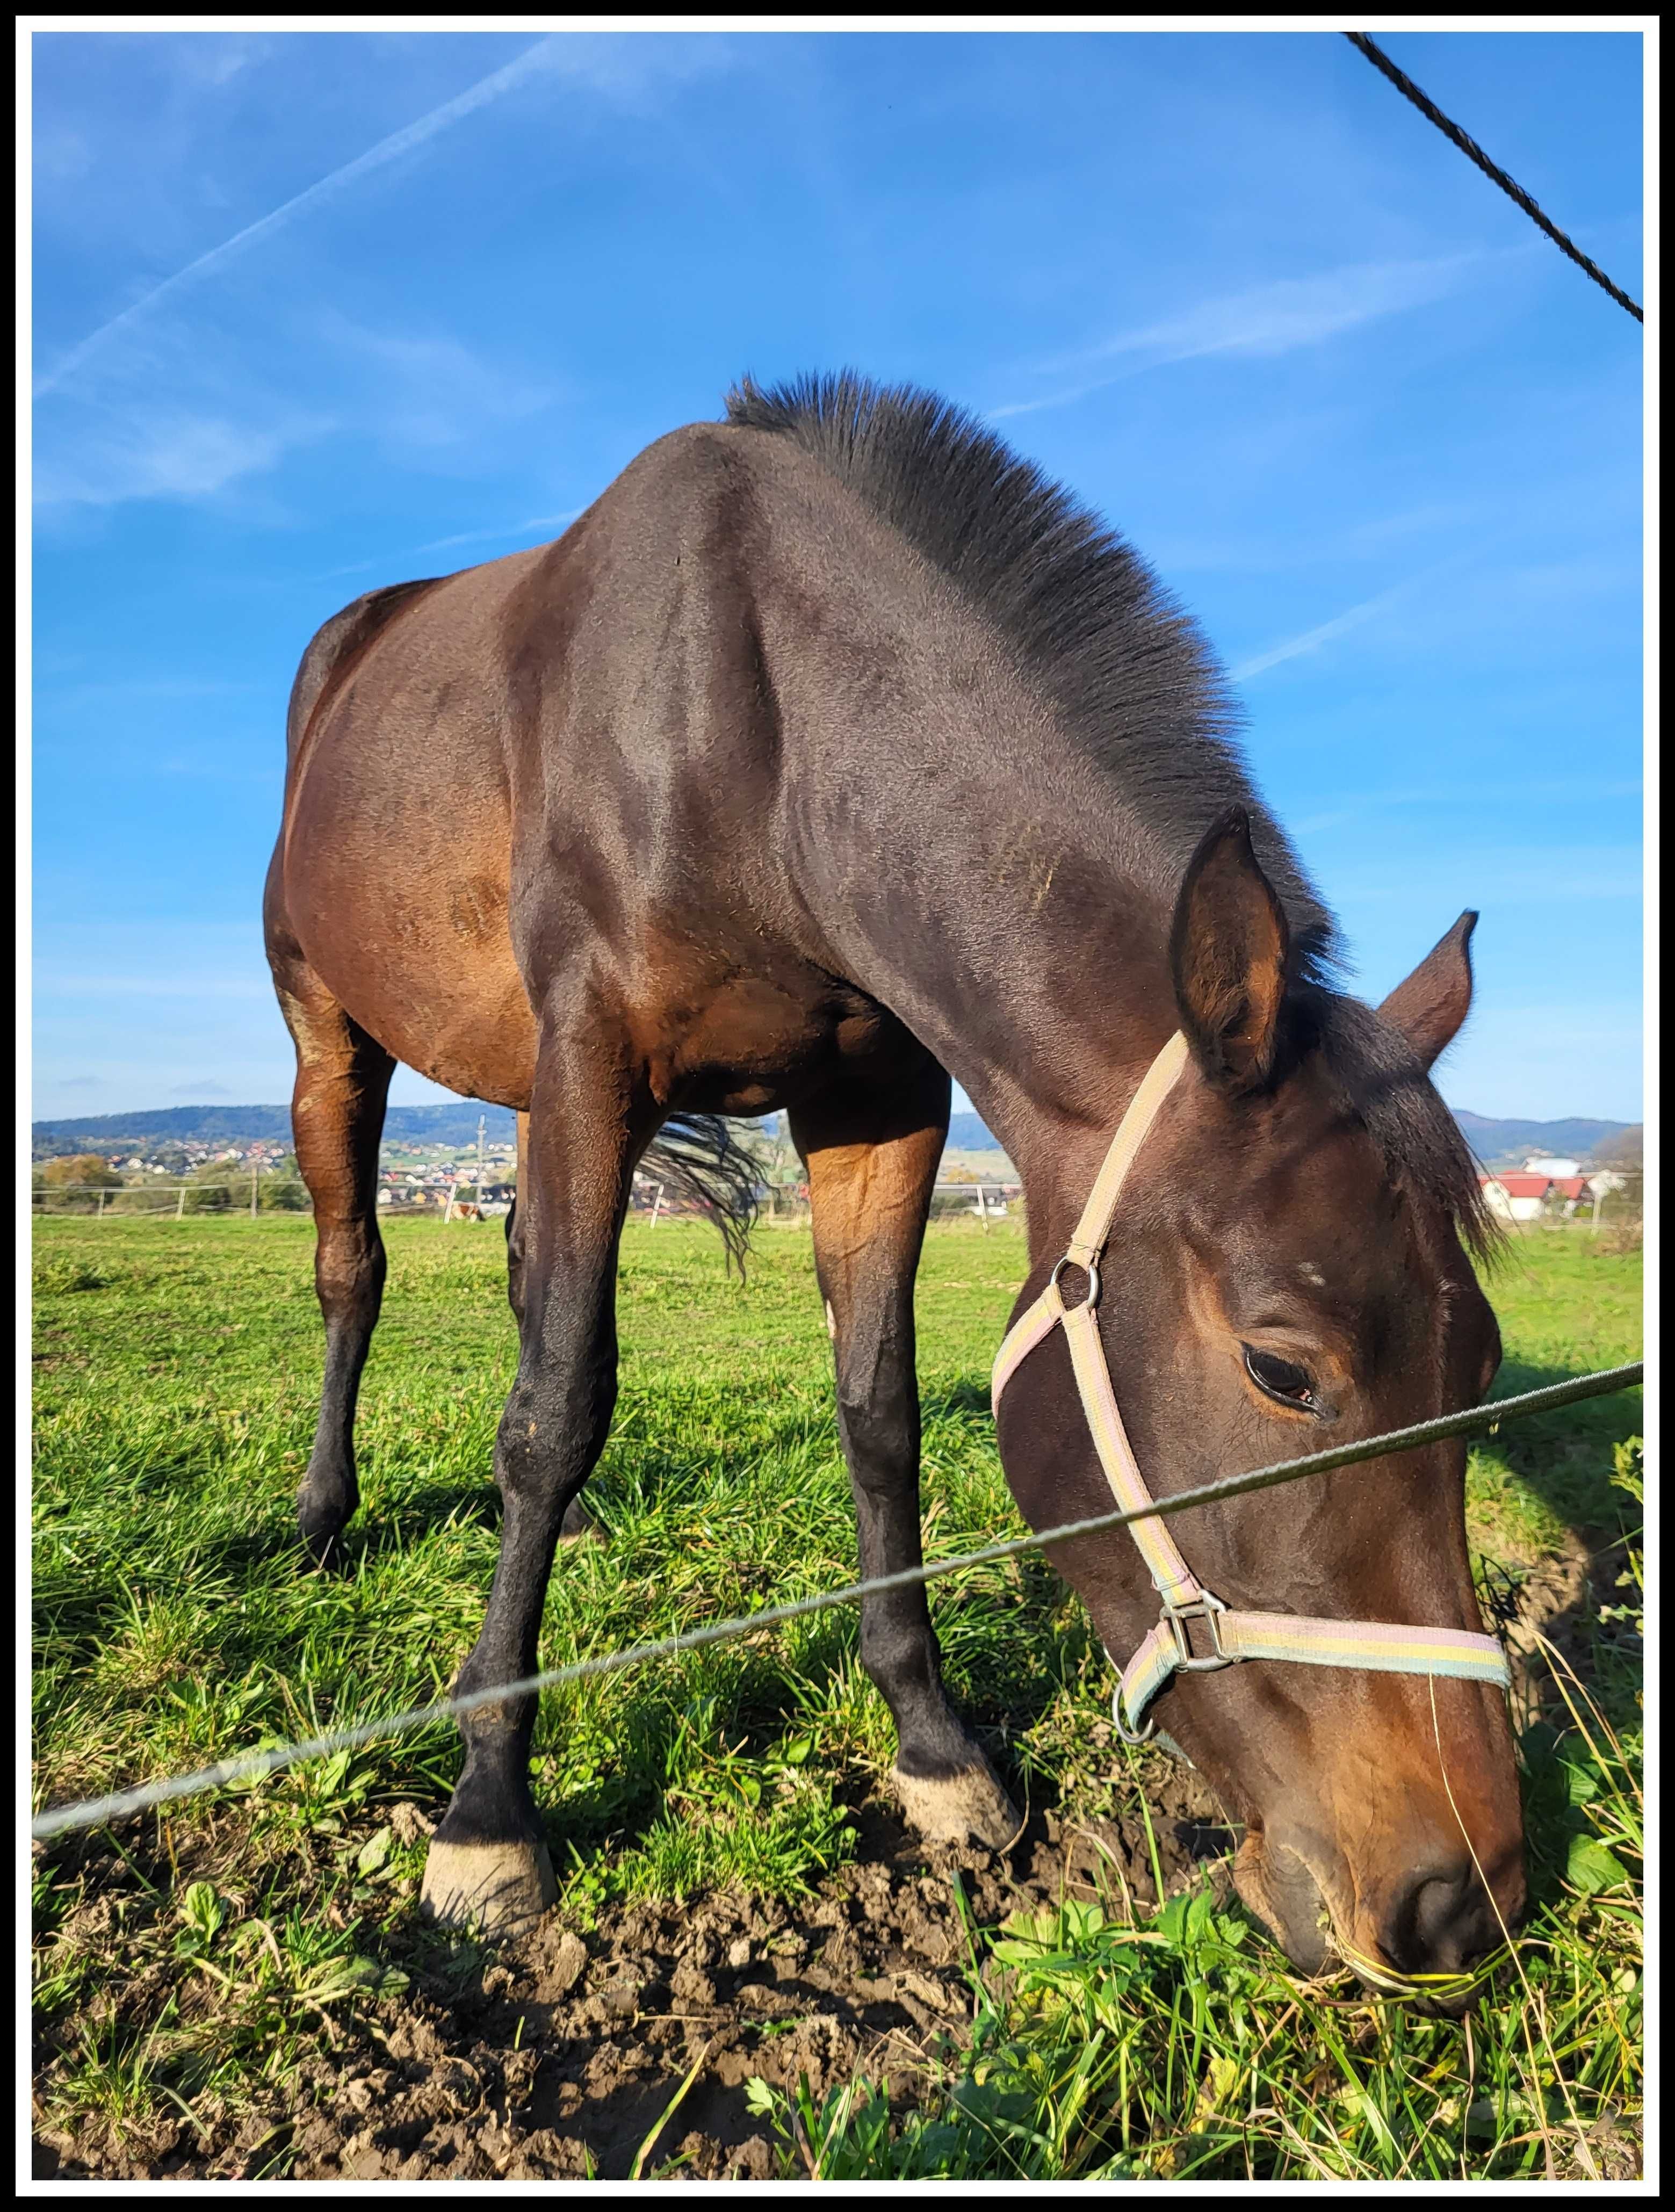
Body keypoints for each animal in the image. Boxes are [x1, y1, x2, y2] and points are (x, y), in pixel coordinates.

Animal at [268, 376, 1522, 1991]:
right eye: (1280, 1370)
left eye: (1478, 1364)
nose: (1463, 1893)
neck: (760, 720)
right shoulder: (593, 1048)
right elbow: (551, 1410)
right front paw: (488, 1802)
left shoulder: (876, 1098)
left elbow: (874, 1409)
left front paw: (931, 1744)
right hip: (332, 1030)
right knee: (354, 1269)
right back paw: (322, 1516)